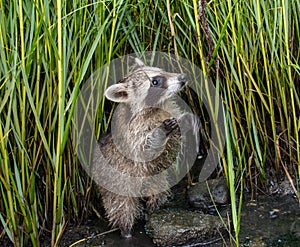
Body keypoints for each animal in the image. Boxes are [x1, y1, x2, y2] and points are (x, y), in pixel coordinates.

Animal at [94, 58, 192, 237]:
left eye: (163, 71)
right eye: (155, 81)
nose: (183, 77)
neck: (160, 105)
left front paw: (186, 120)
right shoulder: (133, 133)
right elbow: (145, 149)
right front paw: (160, 132)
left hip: (156, 181)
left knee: (157, 195)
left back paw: (151, 211)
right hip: (116, 186)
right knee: (122, 209)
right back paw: (126, 231)